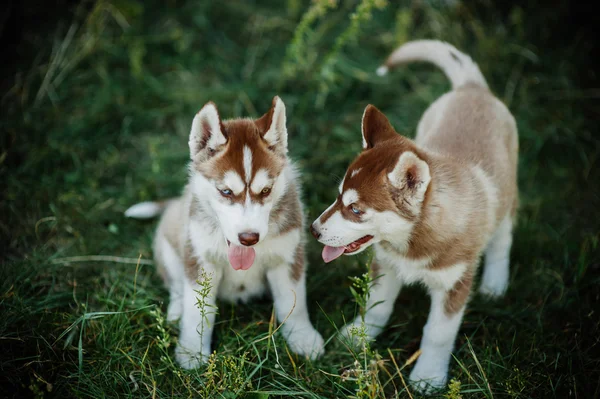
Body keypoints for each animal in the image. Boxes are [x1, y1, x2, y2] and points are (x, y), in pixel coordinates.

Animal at [125, 96, 326, 368]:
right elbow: (197, 311)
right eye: (226, 192)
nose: (249, 238)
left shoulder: (288, 255)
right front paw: (192, 350)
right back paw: (176, 311)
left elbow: (293, 302)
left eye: (266, 191)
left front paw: (302, 337)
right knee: (176, 285)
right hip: (170, 246)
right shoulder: (201, 261)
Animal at [312, 41, 516, 394]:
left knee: (503, 237)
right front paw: (357, 337)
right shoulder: (385, 264)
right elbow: (376, 307)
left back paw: (495, 282)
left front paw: (428, 376)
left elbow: (438, 333)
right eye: (338, 196)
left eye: (356, 209)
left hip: (508, 193)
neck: (411, 241)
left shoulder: (454, 284)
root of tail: (472, 87)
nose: (313, 230)